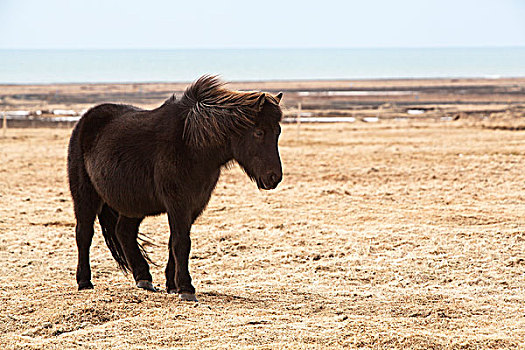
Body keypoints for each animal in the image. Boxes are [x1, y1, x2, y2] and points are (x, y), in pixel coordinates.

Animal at [69, 76, 284, 300]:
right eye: (259, 132)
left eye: (278, 131)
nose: (274, 177)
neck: (191, 144)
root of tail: (85, 120)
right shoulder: (178, 203)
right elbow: (182, 242)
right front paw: (186, 289)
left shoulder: (194, 205)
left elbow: (175, 241)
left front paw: (172, 285)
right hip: (85, 197)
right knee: (84, 234)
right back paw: (84, 282)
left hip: (133, 203)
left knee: (124, 232)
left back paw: (144, 278)